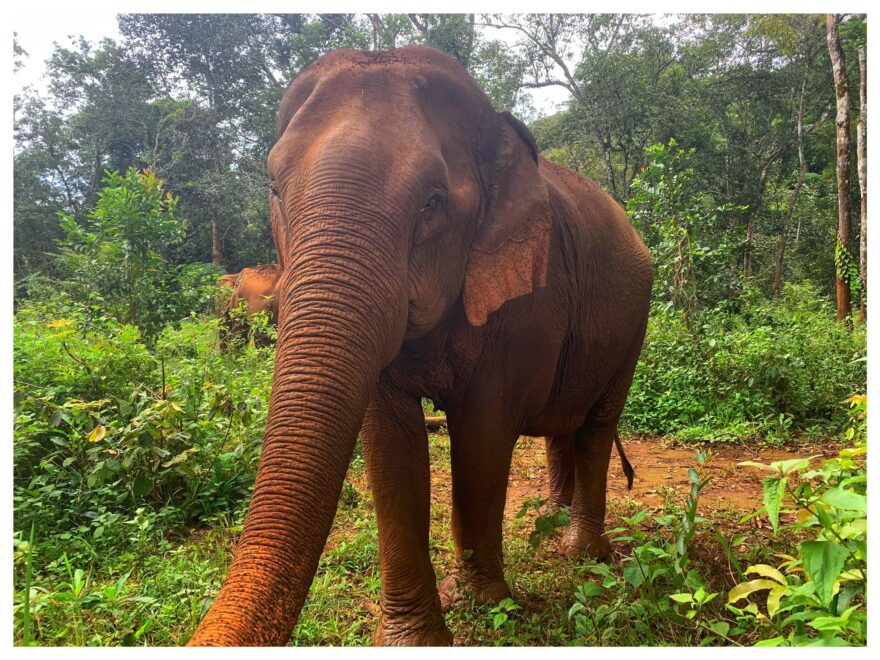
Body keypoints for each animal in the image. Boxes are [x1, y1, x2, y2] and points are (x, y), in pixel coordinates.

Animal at [189, 47, 648, 648]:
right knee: (563, 424)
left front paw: (481, 604)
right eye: (274, 190)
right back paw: (550, 521)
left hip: (635, 320)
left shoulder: (526, 305)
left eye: (433, 202)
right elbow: (390, 447)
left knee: (596, 423)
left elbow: (482, 435)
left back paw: (582, 556)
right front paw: (413, 637)